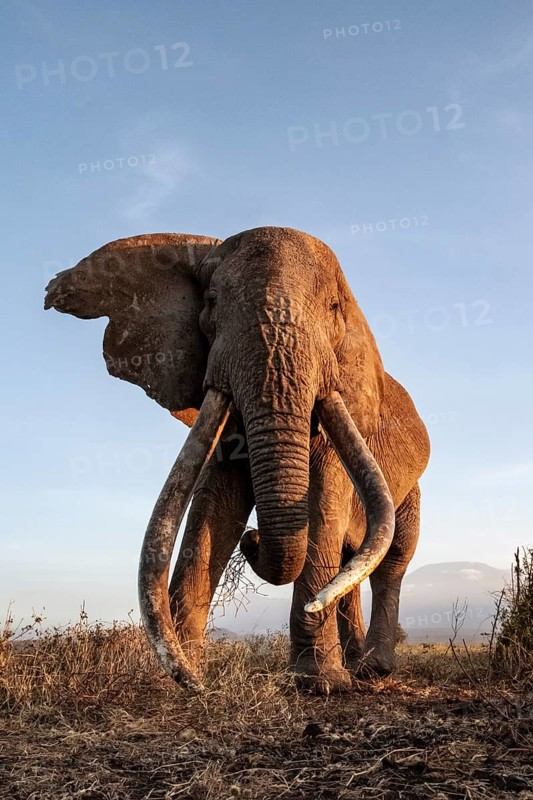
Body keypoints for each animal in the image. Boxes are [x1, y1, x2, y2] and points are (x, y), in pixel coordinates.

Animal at [44, 227, 430, 694]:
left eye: (333, 309)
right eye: (210, 303)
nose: (255, 538)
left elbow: (323, 502)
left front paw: (319, 685)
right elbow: (215, 506)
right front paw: (185, 680)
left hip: (409, 491)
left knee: (390, 559)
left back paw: (373, 669)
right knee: (350, 559)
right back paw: (357, 664)